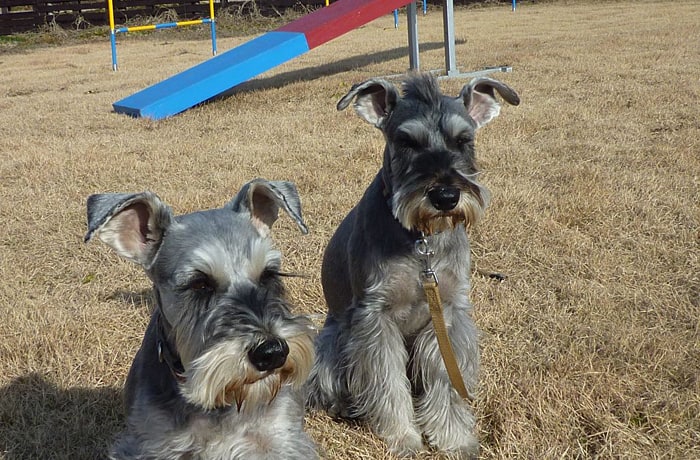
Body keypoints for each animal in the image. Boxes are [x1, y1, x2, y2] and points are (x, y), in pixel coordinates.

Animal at [306, 73, 520, 456]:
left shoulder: (448, 314)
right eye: (406, 142)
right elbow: (386, 382)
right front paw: (403, 438)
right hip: (332, 340)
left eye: (464, 140)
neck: (422, 242)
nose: (446, 196)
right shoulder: (375, 318)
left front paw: (454, 440)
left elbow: (446, 381)